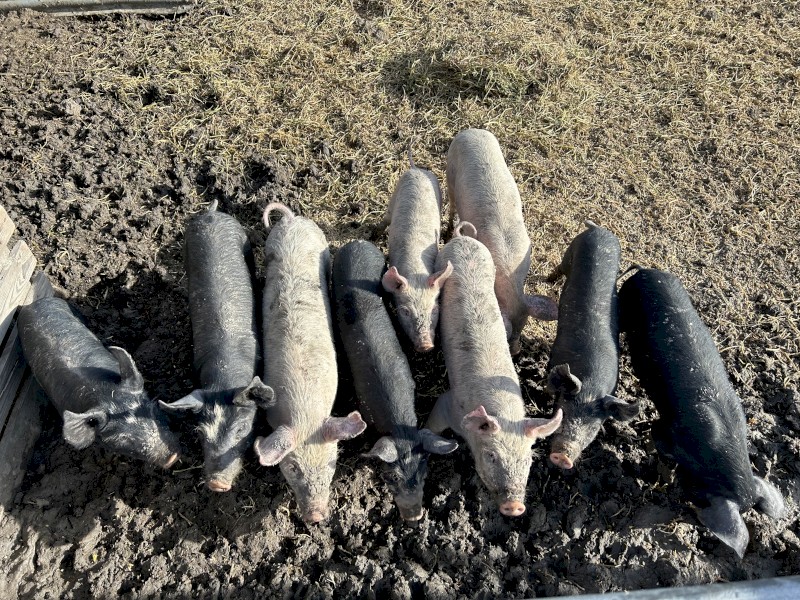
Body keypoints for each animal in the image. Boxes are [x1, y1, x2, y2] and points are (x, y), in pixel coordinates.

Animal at [254, 203, 367, 523]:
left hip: (322, 245)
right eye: (292, 468)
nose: (316, 516)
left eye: (332, 462)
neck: (305, 412)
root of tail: (292, 220)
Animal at [382, 147, 453, 352]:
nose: (426, 345)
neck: (415, 272)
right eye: (405, 312)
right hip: (395, 192)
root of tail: (417, 169)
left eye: (435, 309)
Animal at [425, 223, 563, 517]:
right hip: (443, 260)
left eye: (528, 459)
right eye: (491, 456)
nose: (514, 506)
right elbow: (434, 424)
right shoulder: (448, 404)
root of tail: (463, 238)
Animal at [446, 128, 558, 355]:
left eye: (524, 326)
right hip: (449, 171)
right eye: (506, 337)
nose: (515, 352)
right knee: (451, 201)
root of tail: (470, 131)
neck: (508, 276)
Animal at [546, 221, 639, 470]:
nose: (563, 456)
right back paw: (549, 280)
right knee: (561, 266)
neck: (590, 385)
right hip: (571, 250)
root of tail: (599, 229)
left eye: (594, 429)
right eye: (564, 413)